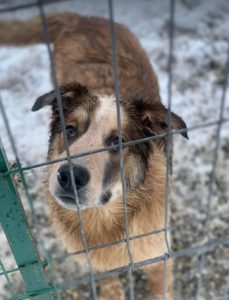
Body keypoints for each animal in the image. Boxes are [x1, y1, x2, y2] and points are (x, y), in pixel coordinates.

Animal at [0, 12, 188, 300]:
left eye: (118, 141)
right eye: (69, 130)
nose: (69, 176)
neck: (106, 219)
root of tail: (83, 18)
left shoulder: (159, 258)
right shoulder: (100, 267)